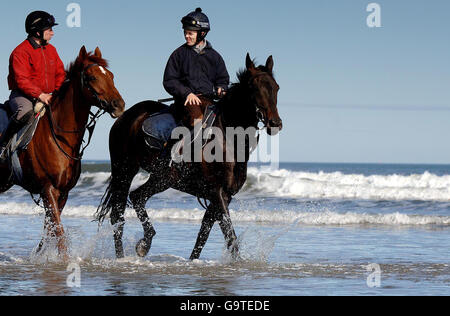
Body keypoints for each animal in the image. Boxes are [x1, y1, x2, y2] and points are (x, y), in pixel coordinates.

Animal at [0, 45, 124, 256]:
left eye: (111, 76)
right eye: (92, 77)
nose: (119, 105)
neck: (58, 135)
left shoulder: (63, 193)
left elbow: (49, 231)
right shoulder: (48, 189)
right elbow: (58, 232)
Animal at [96, 53, 282, 260]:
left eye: (275, 87)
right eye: (253, 88)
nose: (275, 123)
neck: (229, 138)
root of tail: (124, 117)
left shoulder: (222, 197)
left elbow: (204, 234)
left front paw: (193, 261)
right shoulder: (218, 193)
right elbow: (230, 236)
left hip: (160, 177)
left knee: (133, 201)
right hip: (127, 171)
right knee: (122, 210)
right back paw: (136, 248)